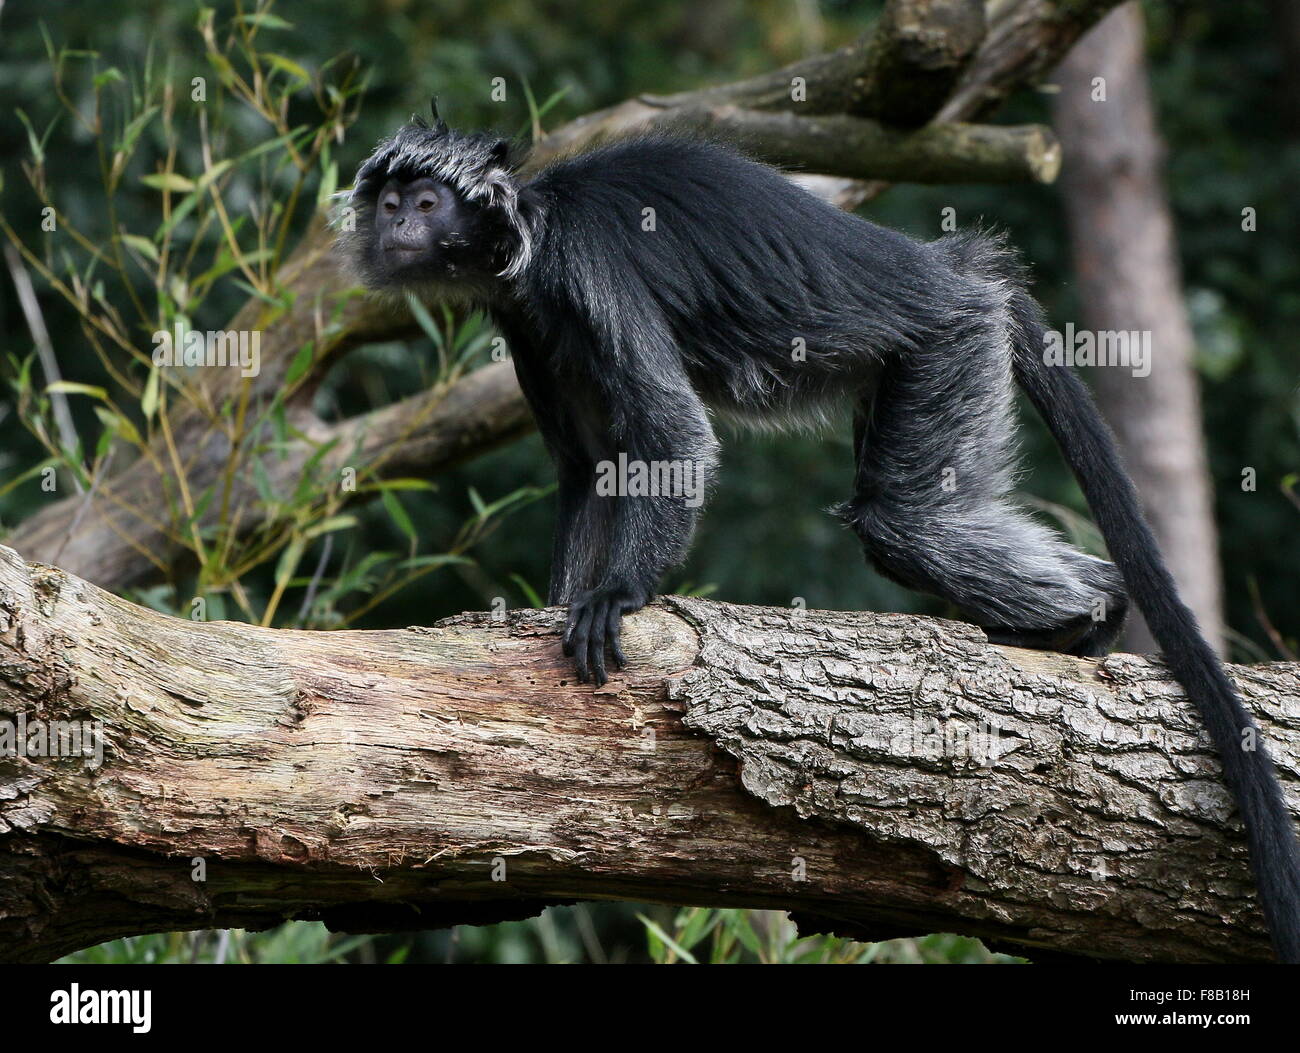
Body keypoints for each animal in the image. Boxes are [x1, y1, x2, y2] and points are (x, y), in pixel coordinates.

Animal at [339, 105, 1300, 961]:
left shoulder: (582, 265)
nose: (395, 224)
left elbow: (671, 441)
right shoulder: (530, 314)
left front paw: (616, 596)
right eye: (389, 203)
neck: (531, 228)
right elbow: (591, 468)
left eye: (424, 201)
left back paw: (1095, 611)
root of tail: (950, 267)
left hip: (951, 343)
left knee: (903, 523)